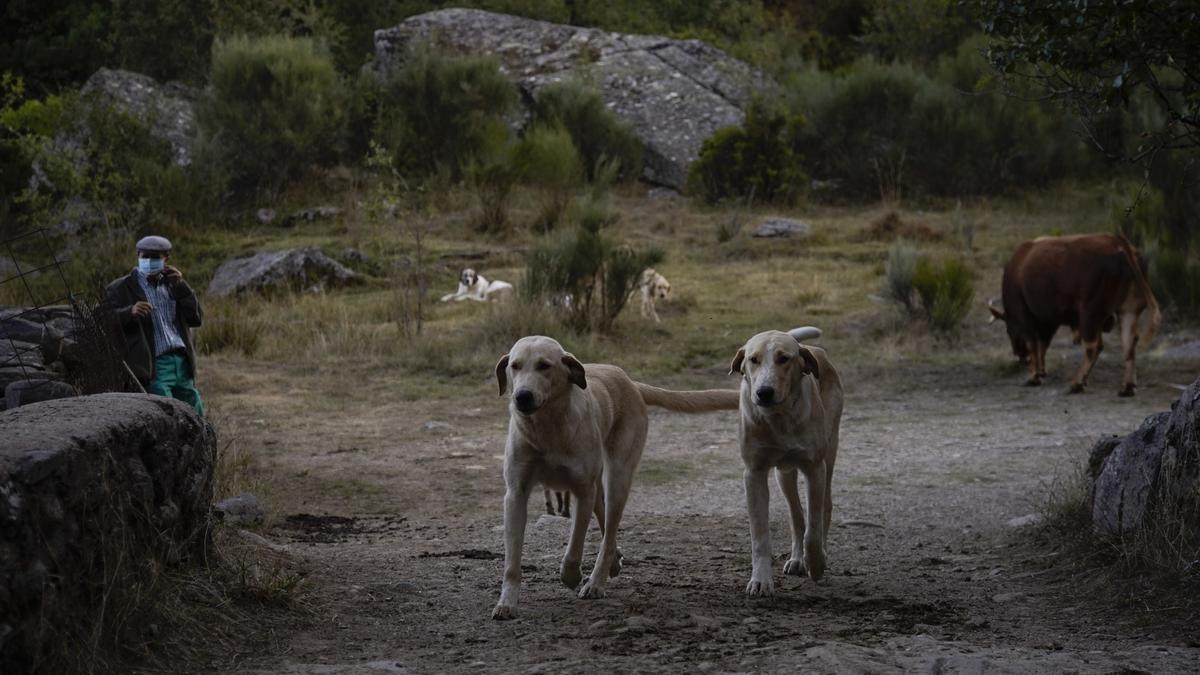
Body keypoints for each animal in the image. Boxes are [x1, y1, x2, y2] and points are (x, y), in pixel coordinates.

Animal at [489, 333, 739, 619]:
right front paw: (507, 603)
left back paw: (597, 582)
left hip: (617, 478)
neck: (548, 427)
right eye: (515, 366)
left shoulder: (582, 491)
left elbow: (575, 545)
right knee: (605, 523)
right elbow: (512, 561)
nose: (522, 396)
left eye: (544, 366)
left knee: (608, 534)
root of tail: (630, 382)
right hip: (600, 485)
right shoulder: (516, 494)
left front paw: (571, 575)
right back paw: (613, 564)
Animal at [720, 324, 844, 593]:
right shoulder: (754, 473)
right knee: (795, 515)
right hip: (783, 474)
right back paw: (797, 559)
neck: (779, 419)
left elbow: (814, 526)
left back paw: (817, 555)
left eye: (784, 359)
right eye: (753, 359)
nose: (764, 392)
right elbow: (760, 535)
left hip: (829, 454)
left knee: (824, 508)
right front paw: (760, 580)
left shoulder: (814, 468)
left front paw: (816, 563)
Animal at [984, 235, 1161, 396]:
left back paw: (1077, 383)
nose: (1020, 357)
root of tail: (1118, 242)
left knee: (1093, 347)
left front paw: (1035, 376)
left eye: (1009, 330)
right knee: (1129, 343)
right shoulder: (1050, 322)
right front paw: (1041, 371)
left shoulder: (1026, 317)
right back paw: (1128, 387)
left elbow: (1034, 344)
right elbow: (1043, 344)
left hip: (1090, 313)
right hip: (1127, 310)